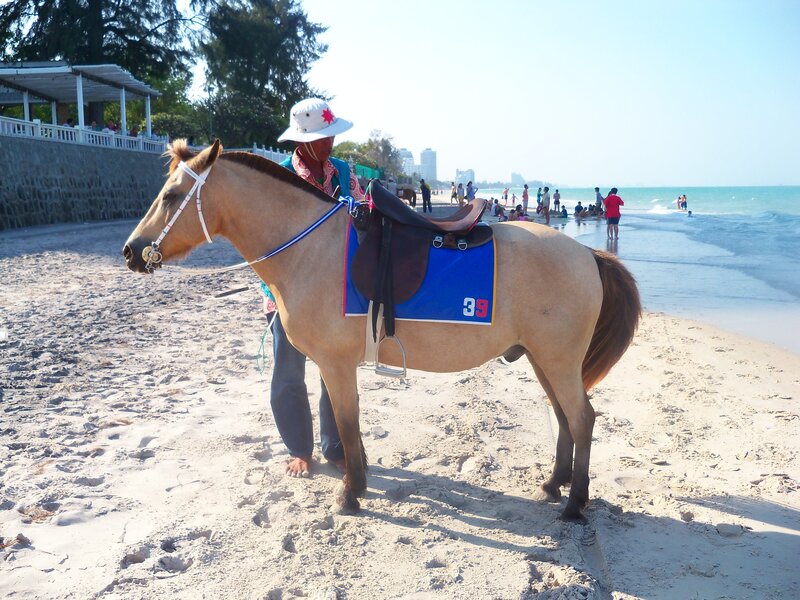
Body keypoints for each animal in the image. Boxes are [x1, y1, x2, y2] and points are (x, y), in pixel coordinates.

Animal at [123, 140, 641, 521]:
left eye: (170, 196)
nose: (131, 251)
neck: (311, 246)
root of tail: (588, 254)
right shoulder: (335, 364)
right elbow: (344, 423)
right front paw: (358, 481)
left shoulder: (335, 364)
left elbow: (347, 425)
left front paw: (350, 493)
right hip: (544, 360)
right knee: (565, 419)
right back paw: (555, 484)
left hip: (558, 361)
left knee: (582, 419)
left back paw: (575, 503)